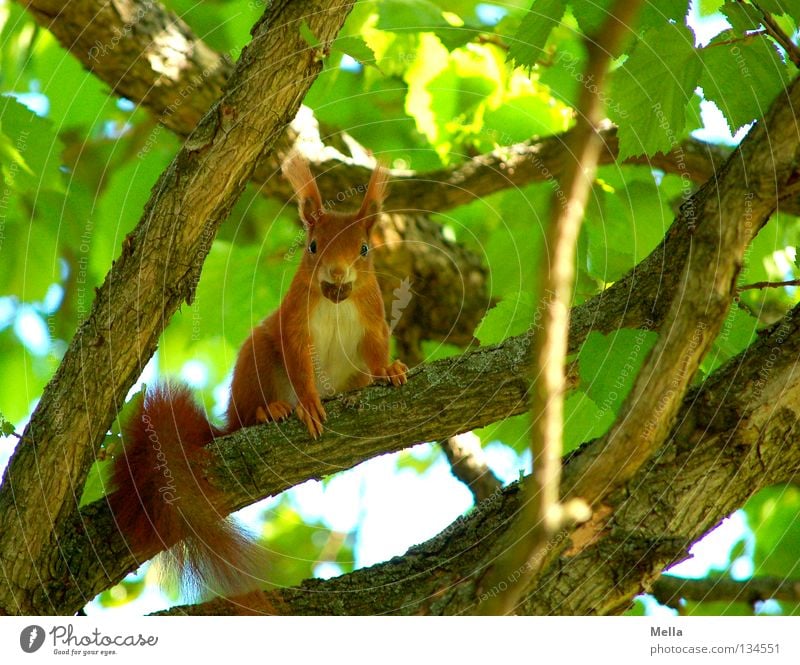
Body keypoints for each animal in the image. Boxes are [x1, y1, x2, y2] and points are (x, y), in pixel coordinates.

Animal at [110, 153, 410, 600]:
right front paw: (308, 404)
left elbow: (375, 351)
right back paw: (270, 412)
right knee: (249, 411)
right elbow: (299, 363)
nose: (337, 275)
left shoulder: (372, 317)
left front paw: (389, 370)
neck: (337, 301)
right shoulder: (292, 325)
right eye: (313, 245)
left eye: (364, 249)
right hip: (256, 362)